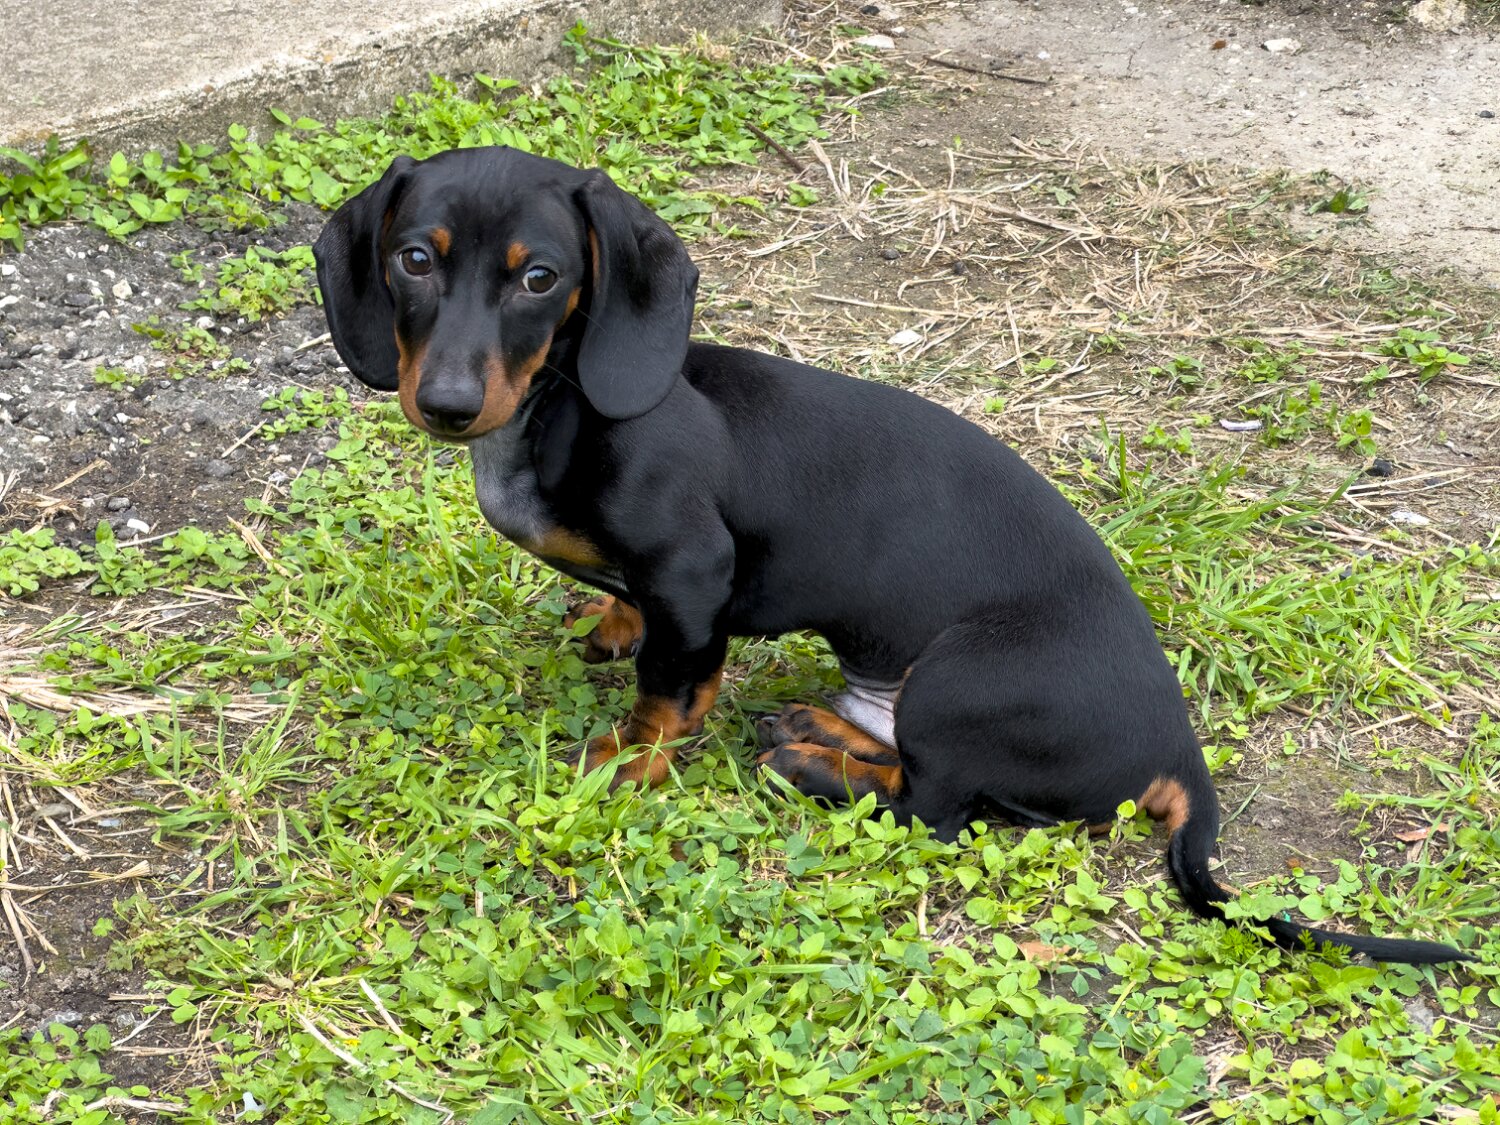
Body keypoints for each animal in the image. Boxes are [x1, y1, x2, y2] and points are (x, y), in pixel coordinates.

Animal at [313, 146, 1469, 966]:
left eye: (541, 279)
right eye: (414, 258)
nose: (446, 404)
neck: (559, 410)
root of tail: (1177, 747)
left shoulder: (692, 576)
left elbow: (671, 692)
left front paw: (622, 762)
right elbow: (636, 628)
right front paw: (608, 626)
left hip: (961, 676)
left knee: (939, 808)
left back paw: (808, 763)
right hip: (908, 690)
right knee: (913, 765)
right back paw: (818, 729)